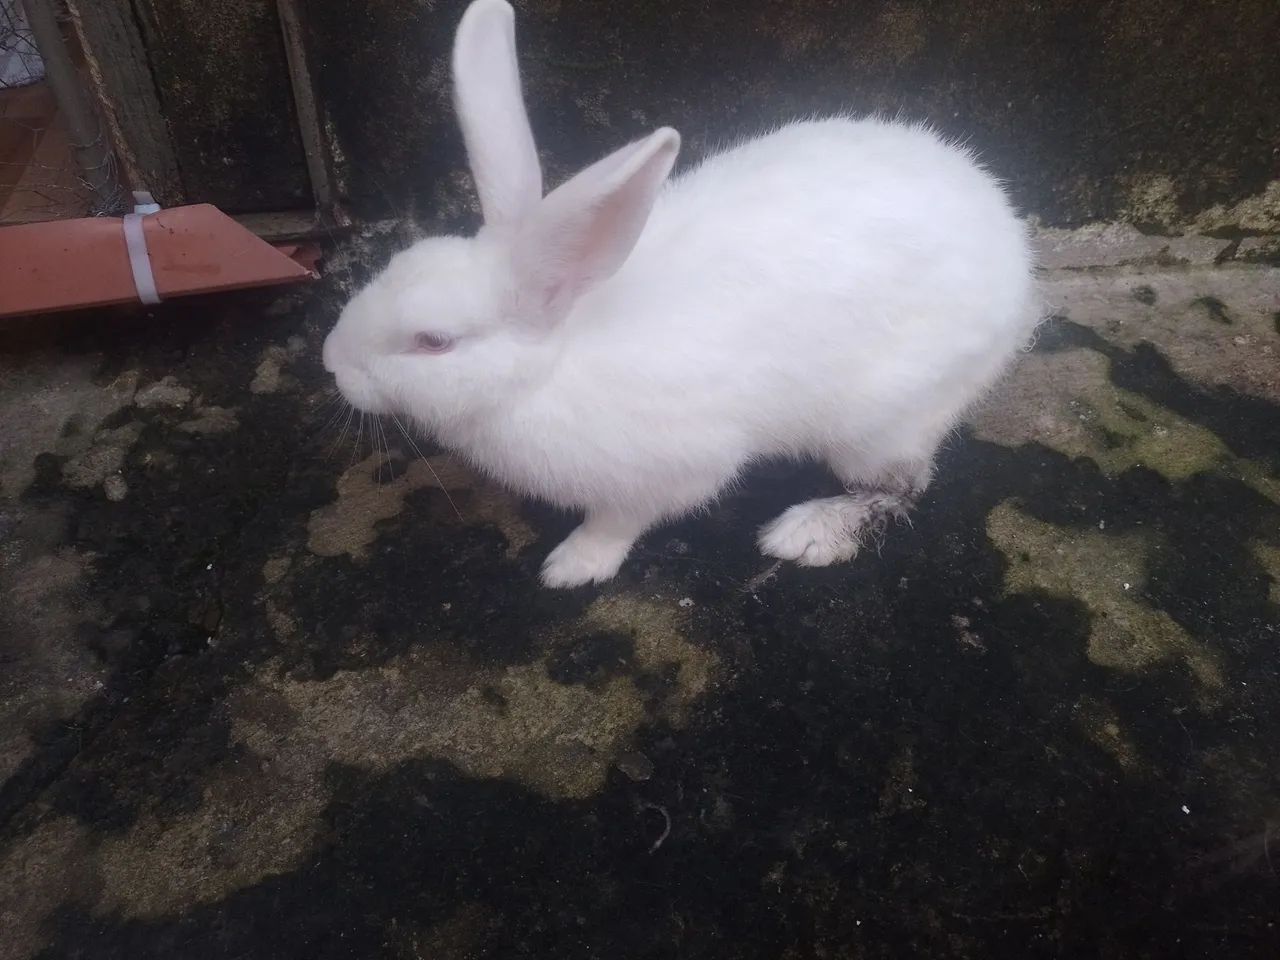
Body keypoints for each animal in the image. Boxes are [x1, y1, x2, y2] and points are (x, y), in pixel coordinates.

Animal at [322, 0, 1038, 588]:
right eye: (398, 264)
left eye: (434, 341)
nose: (331, 363)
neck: (553, 361)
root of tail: (1016, 265)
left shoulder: (667, 473)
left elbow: (620, 520)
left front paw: (572, 565)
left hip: (881, 421)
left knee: (903, 487)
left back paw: (806, 532)